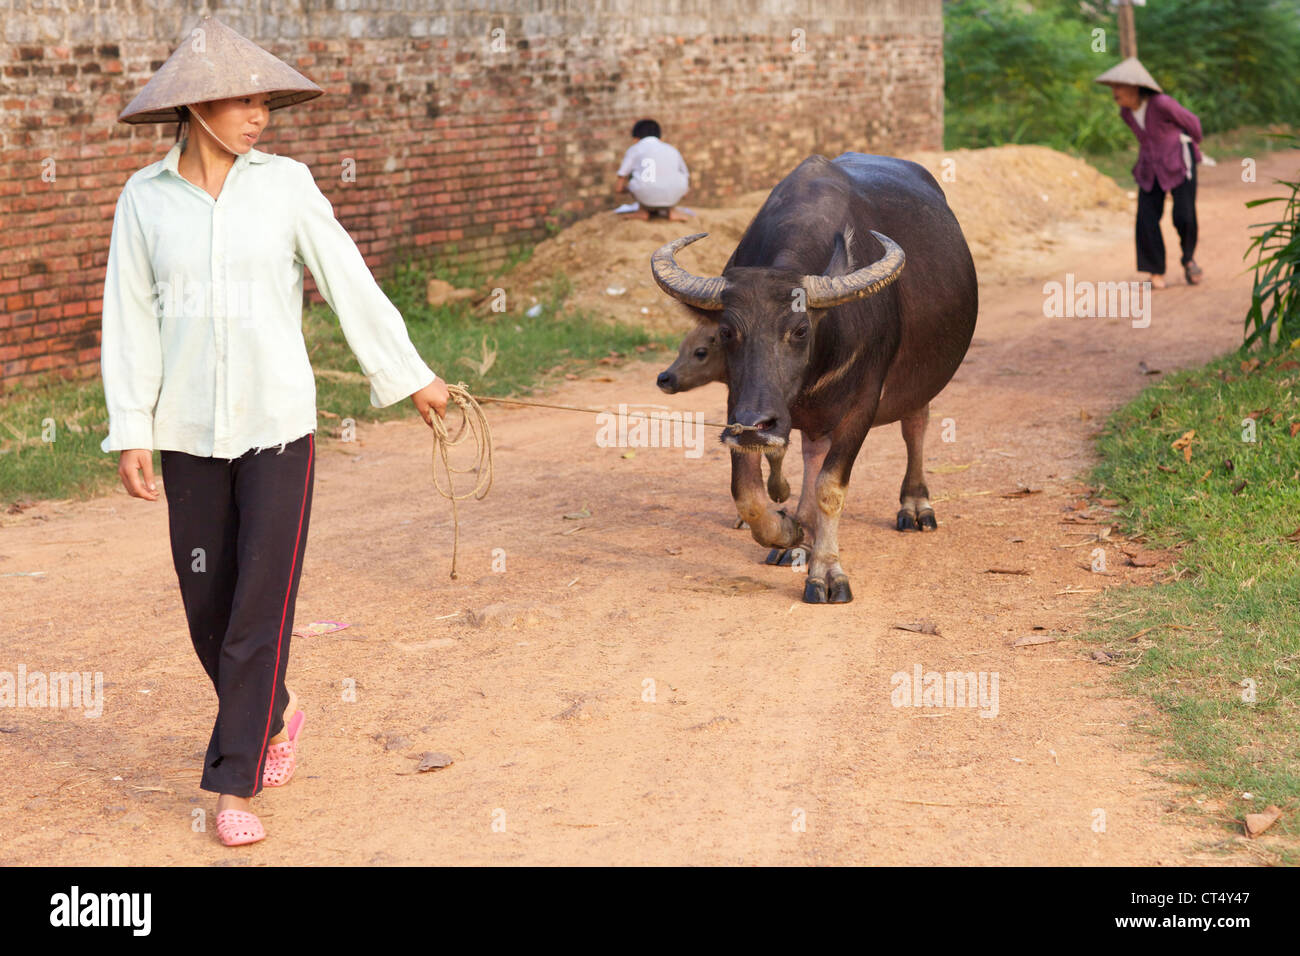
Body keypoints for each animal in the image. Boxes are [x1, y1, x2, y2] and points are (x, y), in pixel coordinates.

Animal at [650, 153, 977, 606]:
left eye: (800, 330)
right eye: (727, 333)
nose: (756, 425)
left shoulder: (862, 405)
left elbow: (830, 488)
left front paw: (827, 572)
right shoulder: (740, 404)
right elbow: (747, 494)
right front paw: (789, 530)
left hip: (918, 382)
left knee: (915, 425)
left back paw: (914, 505)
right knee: (811, 449)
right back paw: (801, 533)